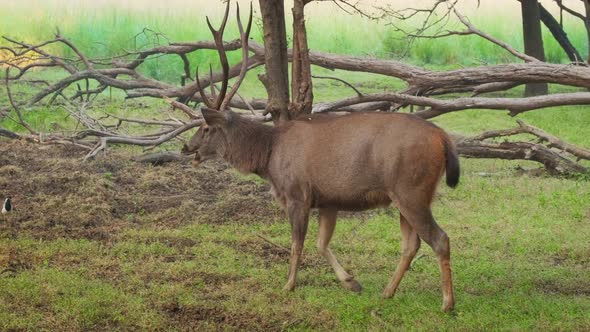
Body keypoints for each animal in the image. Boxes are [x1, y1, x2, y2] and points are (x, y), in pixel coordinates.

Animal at [183, 0, 460, 312]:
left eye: (206, 128)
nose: (187, 148)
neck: (268, 157)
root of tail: (443, 138)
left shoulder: (297, 194)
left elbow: (297, 244)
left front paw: (288, 285)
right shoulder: (329, 200)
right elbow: (321, 243)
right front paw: (351, 282)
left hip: (411, 188)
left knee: (439, 238)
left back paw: (447, 303)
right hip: (407, 194)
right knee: (411, 244)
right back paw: (388, 291)